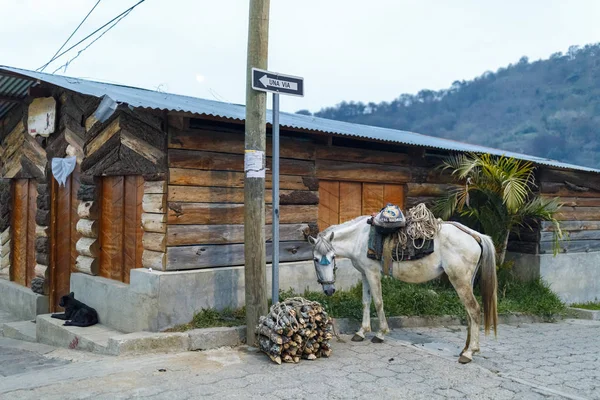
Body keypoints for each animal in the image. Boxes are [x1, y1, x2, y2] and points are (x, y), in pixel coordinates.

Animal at [310, 217, 496, 364]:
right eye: (316, 259)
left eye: (332, 256)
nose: (329, 289)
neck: (360, 238)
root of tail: (474, 235)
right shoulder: (364, 273)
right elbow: (366, 302)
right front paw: (361, 332)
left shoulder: (372, 273)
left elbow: (378, 302)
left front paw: (380, 333)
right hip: (466, 282)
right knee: (469, 313)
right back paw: (465, 349)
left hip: (460, 280)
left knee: (474, 310)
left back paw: (469, 353)